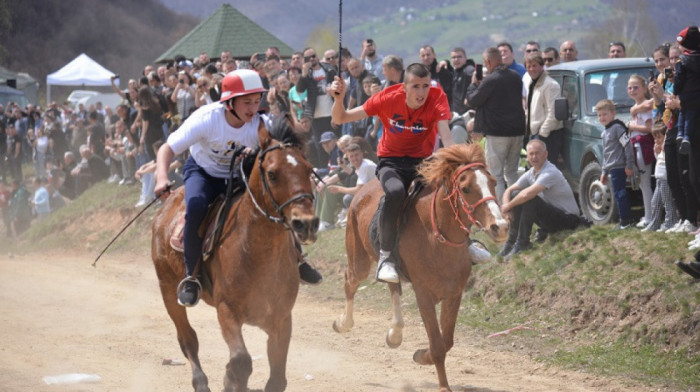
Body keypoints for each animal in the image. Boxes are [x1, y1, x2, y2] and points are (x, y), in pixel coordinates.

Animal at [153, 123, 320, 392]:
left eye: (309, 170)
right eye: (272, 173)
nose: (306, 224)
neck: (256, 251)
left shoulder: (282, 318)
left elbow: (277, 378)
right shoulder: (227, 310)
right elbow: (241, 361)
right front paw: (230, 378)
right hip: (168, 290)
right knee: (188, 339)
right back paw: (200, 382)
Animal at [334, 144, 508, 392]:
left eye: (493, 182)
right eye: (465, 189)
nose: (500, 226)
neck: (436, 237)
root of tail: (361, 190)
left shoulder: (453, 293)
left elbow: (446, 341)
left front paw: (422, 356)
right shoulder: (423, 294)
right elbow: (437, 344)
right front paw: (443, 386)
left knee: (392, 286)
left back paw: (395, 333)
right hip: (359, 259)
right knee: (350, 281)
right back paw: (343, 323)